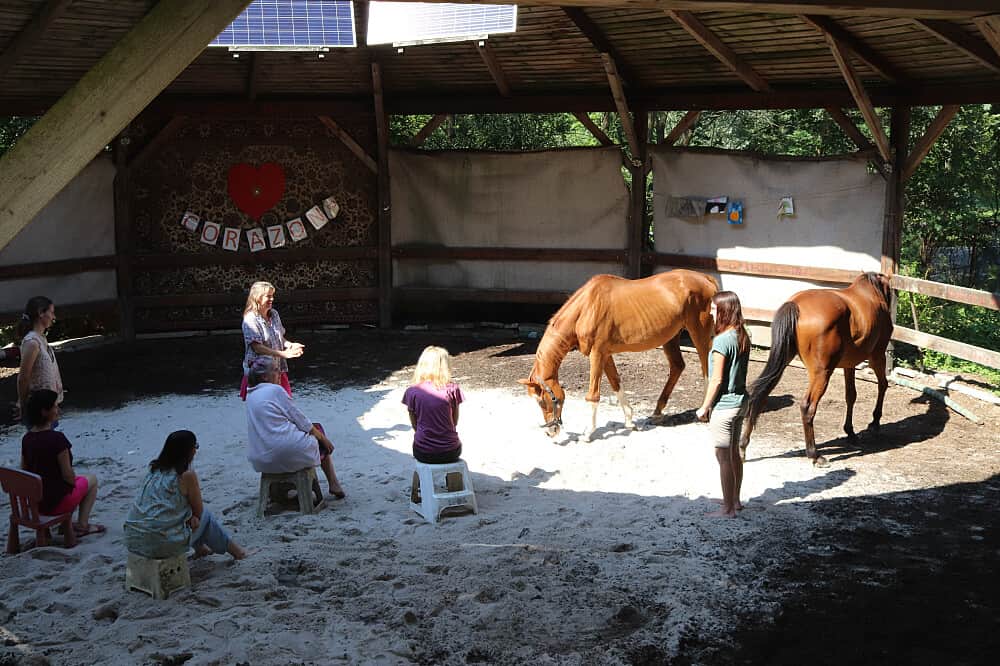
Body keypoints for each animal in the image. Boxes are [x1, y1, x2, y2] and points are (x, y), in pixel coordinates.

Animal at [519, 269, 718, 440]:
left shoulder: (597, 354)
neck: (586, 308)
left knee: (707, 368)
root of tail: (706, 278)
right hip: (670, 337)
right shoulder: (605, 355)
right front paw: (629, 421)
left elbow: (593, 395)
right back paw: (657, 412)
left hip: (699, 333)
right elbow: (616, 383)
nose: (551, 431)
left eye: (542, 401)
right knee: (678, 366)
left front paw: (588, 433)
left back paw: (703, 413)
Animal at [739, 272, 894, 467]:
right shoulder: (877, 356)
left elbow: (851, 395)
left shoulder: (849, 365)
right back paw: (814, 454)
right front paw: (875, 422)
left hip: (783, 361)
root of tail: (796, 304)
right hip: (822, 373)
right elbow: (883, 385)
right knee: (807, 406)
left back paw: (742, 447)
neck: (872, 294)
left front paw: (850, 432)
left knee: (760, 395)